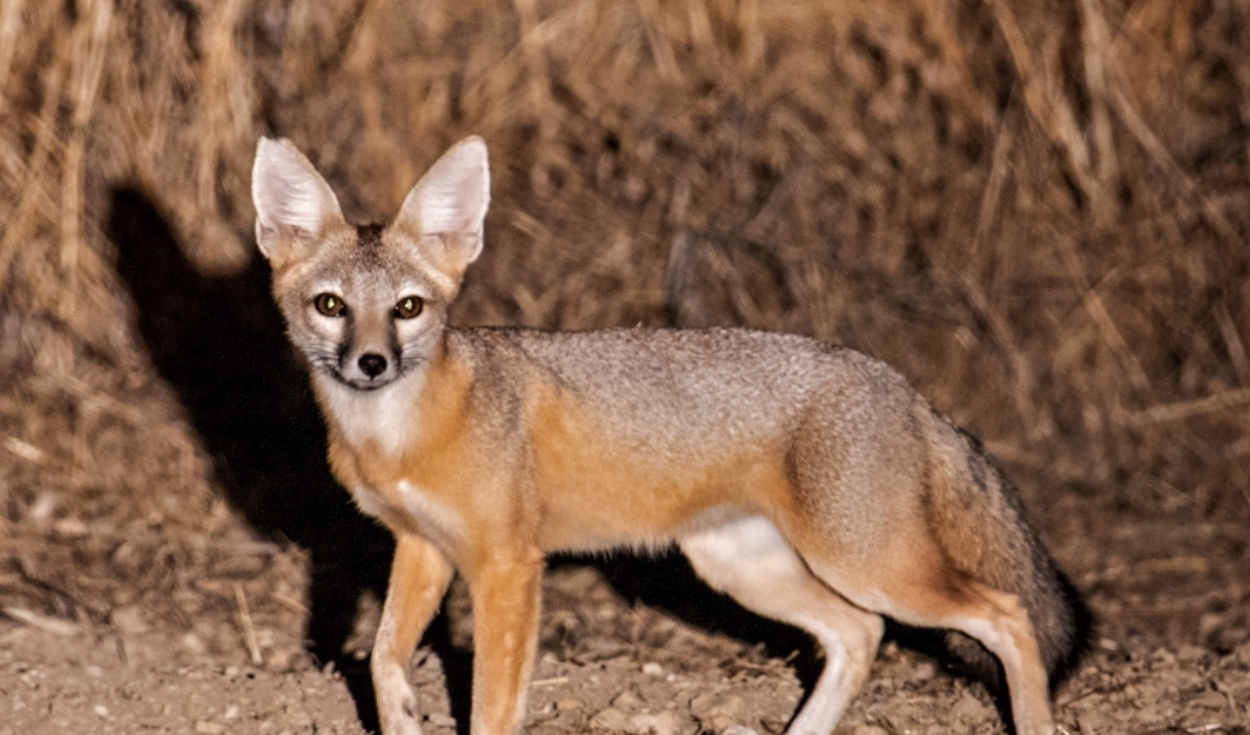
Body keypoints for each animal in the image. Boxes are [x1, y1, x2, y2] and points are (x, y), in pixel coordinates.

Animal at [250, 135, 1084, 735]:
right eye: (331, 305)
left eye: (408, 308)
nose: (371, 362)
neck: (396, 436)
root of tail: (901, 384)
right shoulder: (422, 549)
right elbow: (383, 660)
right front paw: (404, 714)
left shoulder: (506, 566)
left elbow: (490, 707)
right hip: (744, 570)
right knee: (860, 632)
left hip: (871, 563)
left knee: (1005, 614)